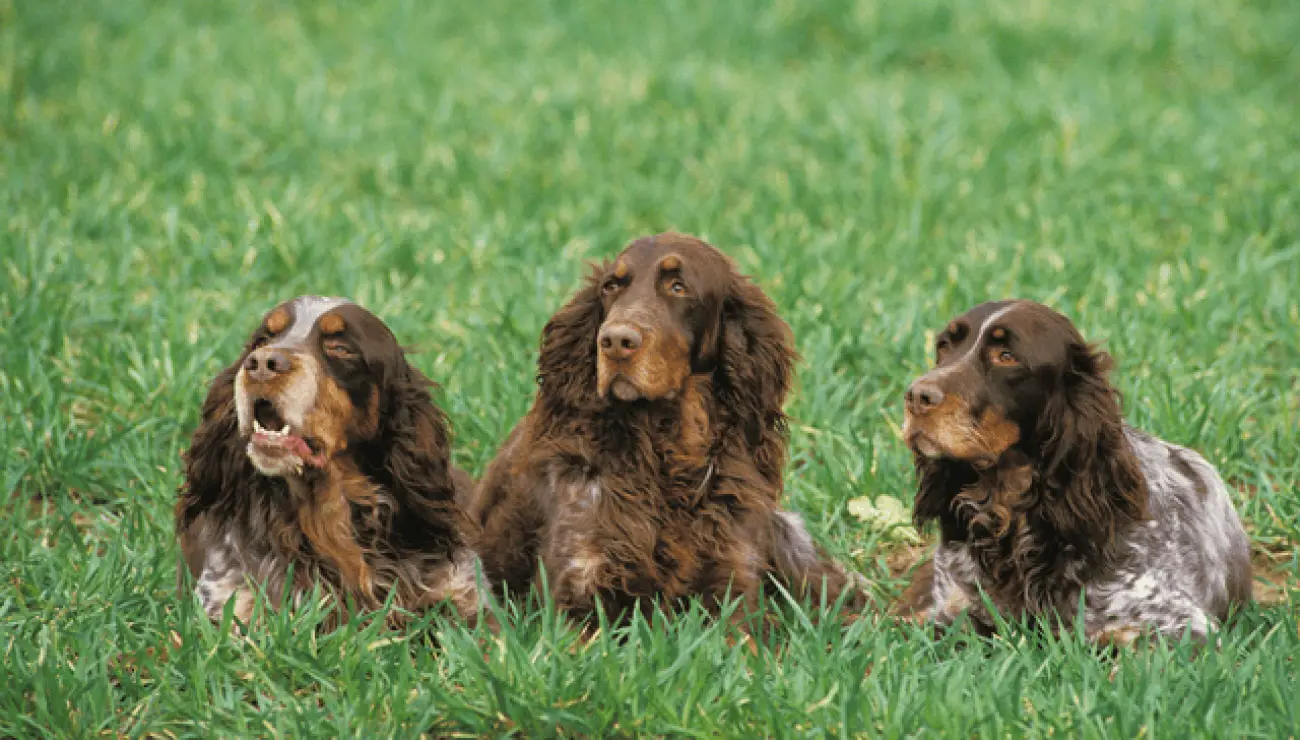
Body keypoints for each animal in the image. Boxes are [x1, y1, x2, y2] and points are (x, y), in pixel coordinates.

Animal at [467, 232, 863, 624]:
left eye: (678, 286)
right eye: (611, 286)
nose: (614, 341)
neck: (665, 454)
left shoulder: (732, 586)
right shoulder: (576, 591)